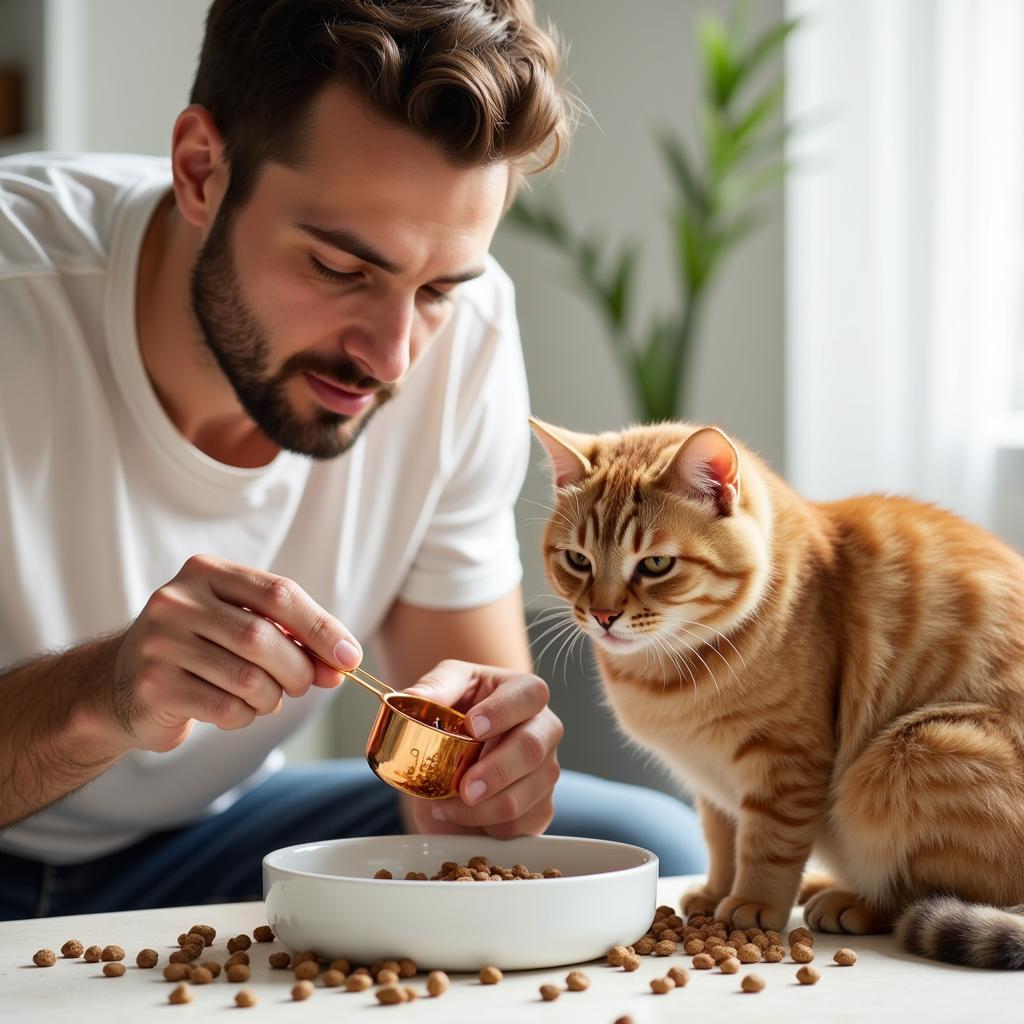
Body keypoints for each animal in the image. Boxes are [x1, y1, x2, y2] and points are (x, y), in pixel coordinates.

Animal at [532, 413, 1024, 966]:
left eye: (656, 564)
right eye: (578, 560)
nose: (602, 615)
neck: (665, 676)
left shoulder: (786, 761)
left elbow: (768, 844)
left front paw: (752, 902)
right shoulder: (712, 784)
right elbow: (723, 841)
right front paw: (716, 891)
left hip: (909, 754)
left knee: (921, 897)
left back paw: (849, 901)